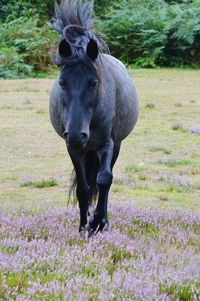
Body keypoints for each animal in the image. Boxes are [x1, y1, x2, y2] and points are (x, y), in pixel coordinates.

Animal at [49, 0, 138, 236]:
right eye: (62, 82)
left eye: (93, 82)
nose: (77, 135)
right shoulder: (73, 148)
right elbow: (83, 189)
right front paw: (83, 226)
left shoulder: (108, 143)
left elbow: (104, 179)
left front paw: (98, 221)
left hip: (115, 145)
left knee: (104, 180)